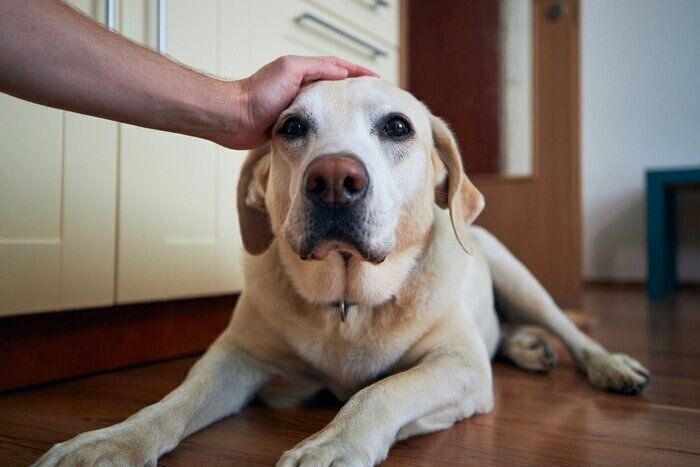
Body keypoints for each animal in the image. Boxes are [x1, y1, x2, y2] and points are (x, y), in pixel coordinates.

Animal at [37, 77, 652, 467]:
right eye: (290, 126)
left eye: (398, 127)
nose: (334, 179)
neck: (347, 301)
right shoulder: (236, 356)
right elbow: (172, 402)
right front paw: (108, 443)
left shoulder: (461, 366)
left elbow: (380, 392)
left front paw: (331, 445)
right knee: (507, 335)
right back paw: (527, 348)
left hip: (516, 274)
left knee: (569, 333)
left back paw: (607, 365)